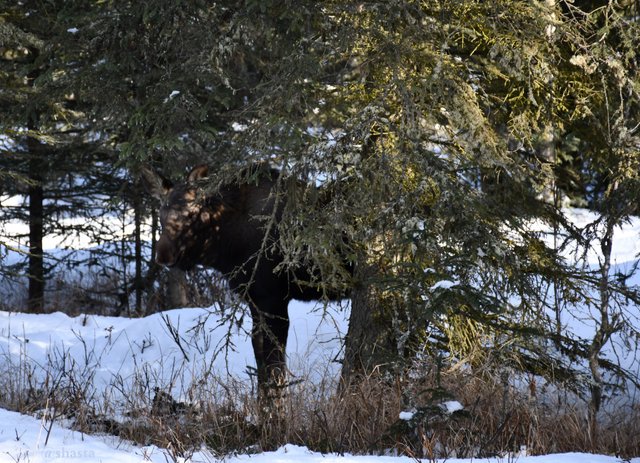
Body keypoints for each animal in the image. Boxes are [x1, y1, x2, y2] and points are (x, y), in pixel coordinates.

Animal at [141, 165, 350, 400]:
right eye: (161, 215)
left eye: (191, 214)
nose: (162, 256)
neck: (225, 250)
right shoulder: (254, 300)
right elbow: (260, 363)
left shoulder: (274, 299)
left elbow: (275, 367)